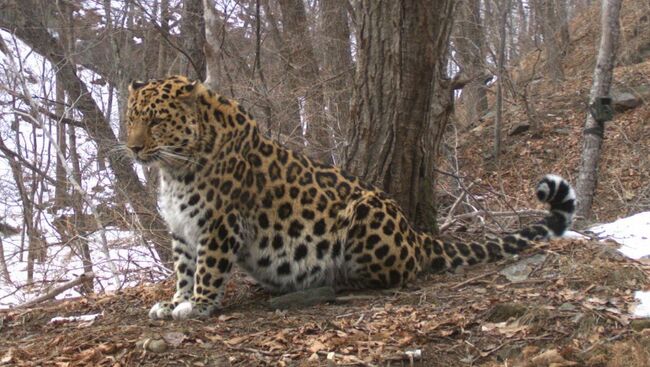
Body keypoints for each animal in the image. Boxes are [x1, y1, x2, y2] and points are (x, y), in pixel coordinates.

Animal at [124, 75, 576, 322]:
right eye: (130, 118)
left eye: (157, 121)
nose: (131, 148)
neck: (174, 168)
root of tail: (418, 234)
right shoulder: (182, 230)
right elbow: (184, 269)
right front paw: (175, 301)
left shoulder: (220, 223)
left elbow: (208, 269)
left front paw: (197, 306)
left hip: (364, 212)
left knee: (398, 273)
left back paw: (335, 278)